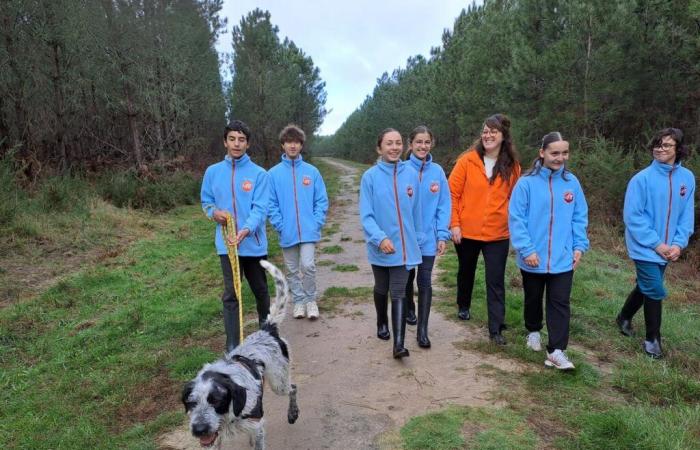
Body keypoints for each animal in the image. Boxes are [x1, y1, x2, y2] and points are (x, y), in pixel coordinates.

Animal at [180, 260, 298, 450]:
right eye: (191, 402)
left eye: (216, 400)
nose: (199, 430)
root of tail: (267, 329)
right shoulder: (213, 440)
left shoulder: (256, 426)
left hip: (278, 383)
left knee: (293, 388)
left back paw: (293, 413)